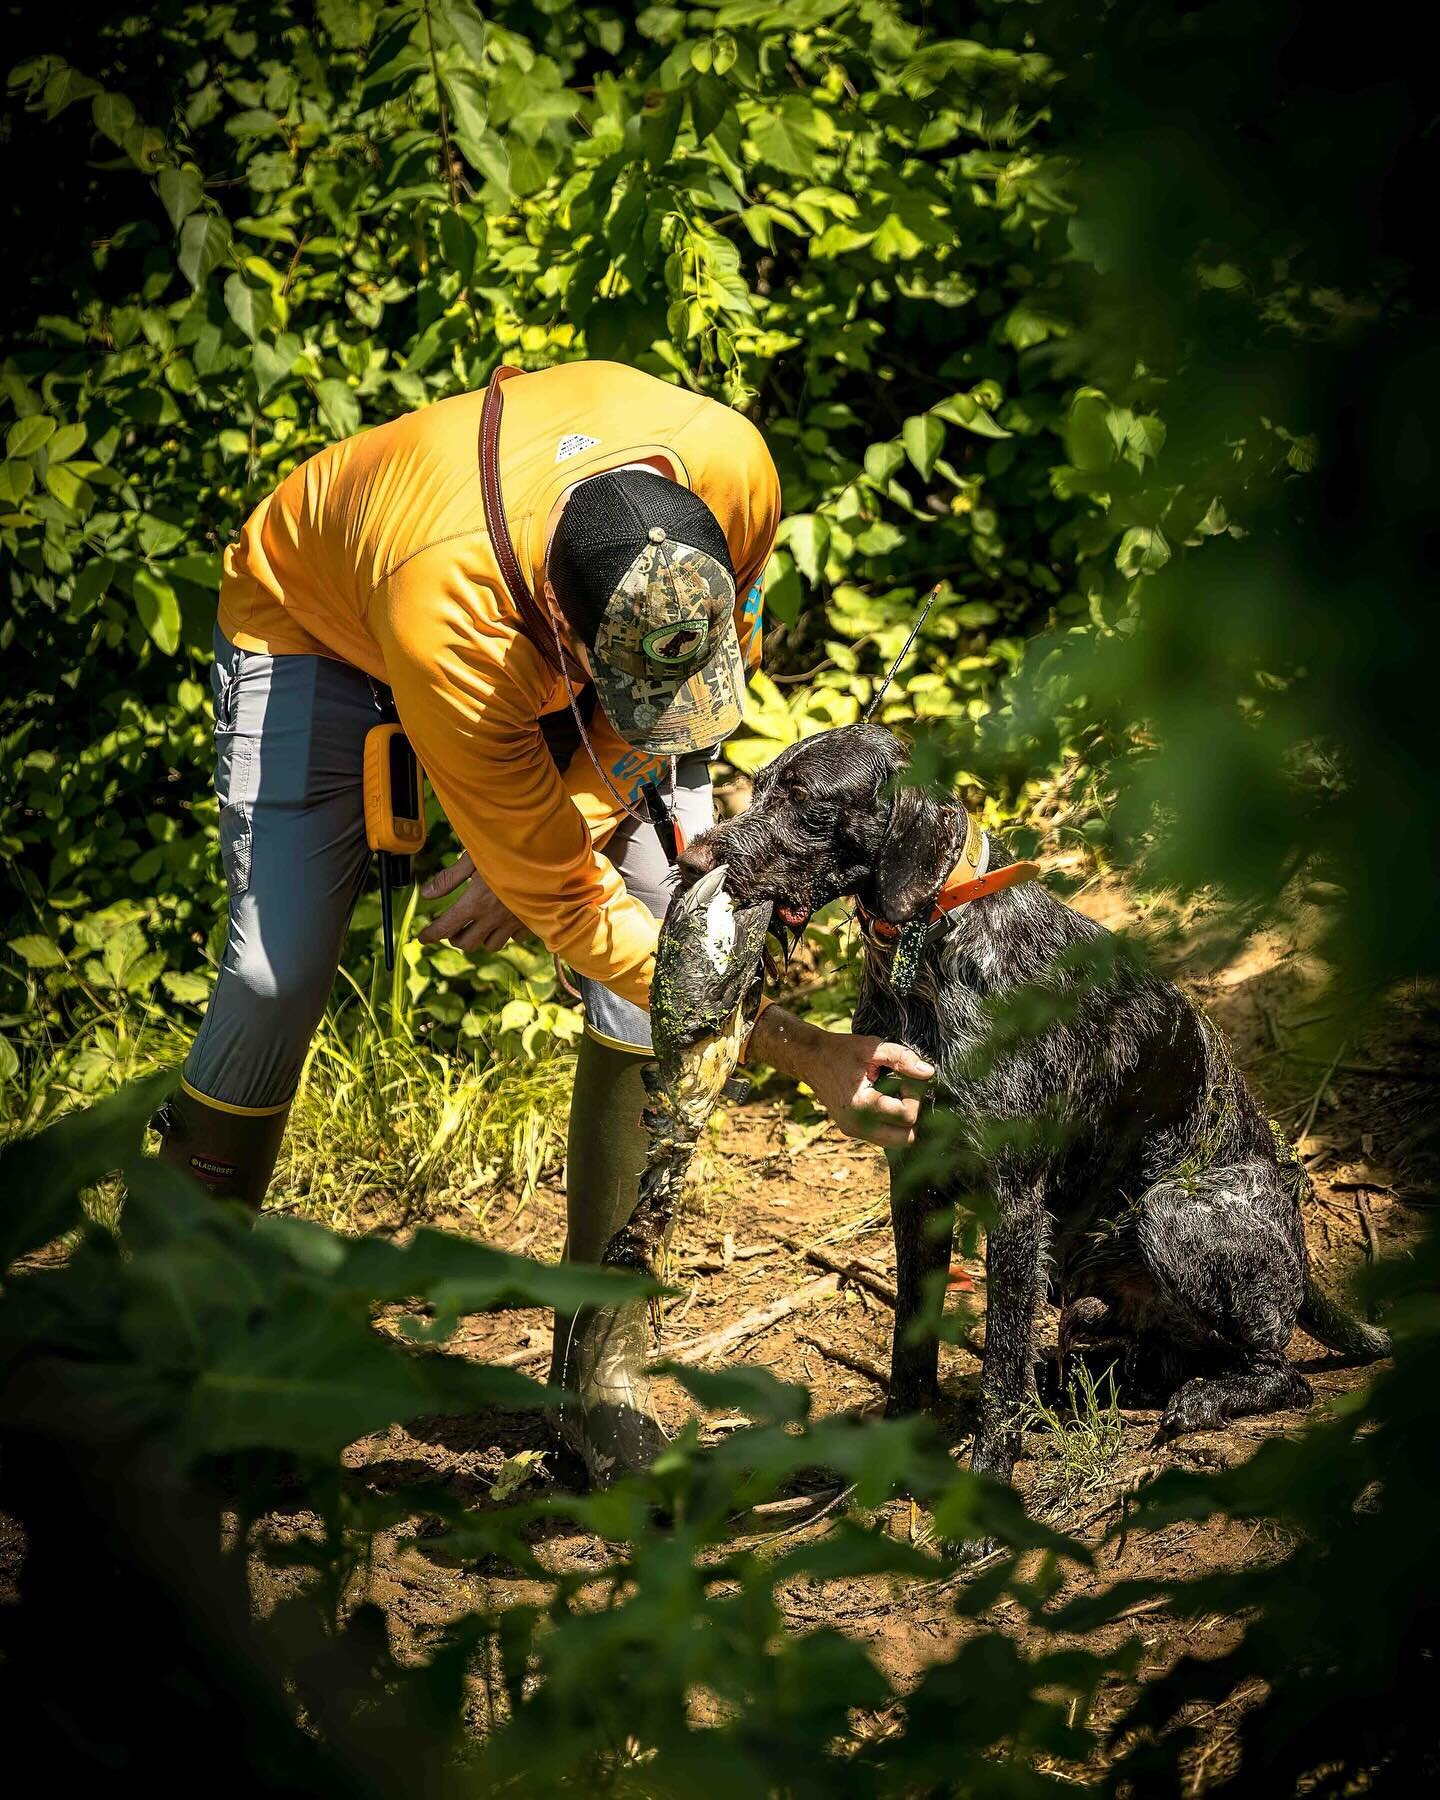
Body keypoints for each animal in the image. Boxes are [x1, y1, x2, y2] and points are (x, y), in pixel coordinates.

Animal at [680, 723, 1389, 1483]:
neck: (929, 958)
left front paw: (989, 1478)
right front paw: (899, 1437)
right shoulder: (916, 1187)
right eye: (757, 787)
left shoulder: (1014, 1205)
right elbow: (912, 1338)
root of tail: (1301, 1260)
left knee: (1280, 1372)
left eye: (804, 799)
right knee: (1154, 1354)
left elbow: (999, 1363)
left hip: (1173, 1211)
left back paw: (1204, 1398)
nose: (688, 861)